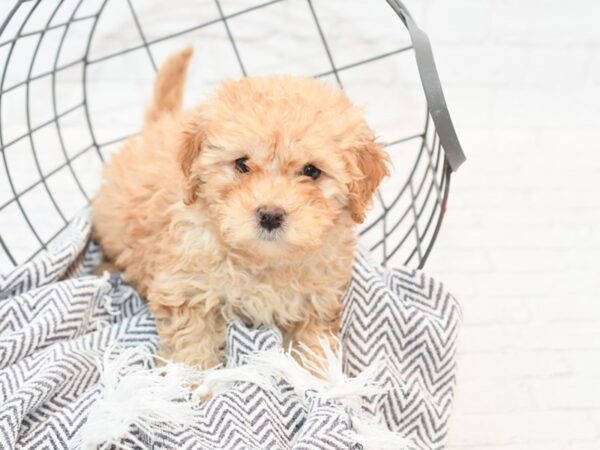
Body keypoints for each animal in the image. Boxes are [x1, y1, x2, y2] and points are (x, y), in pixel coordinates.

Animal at [91, 47, 386, 368]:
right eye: (242, 164)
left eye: (312, 171)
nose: (270, 215)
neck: (261, 260)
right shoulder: (186, 290)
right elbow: (190, 346)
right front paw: (190, 379)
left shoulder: (316, 300)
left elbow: (314, 347)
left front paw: (321, 377)